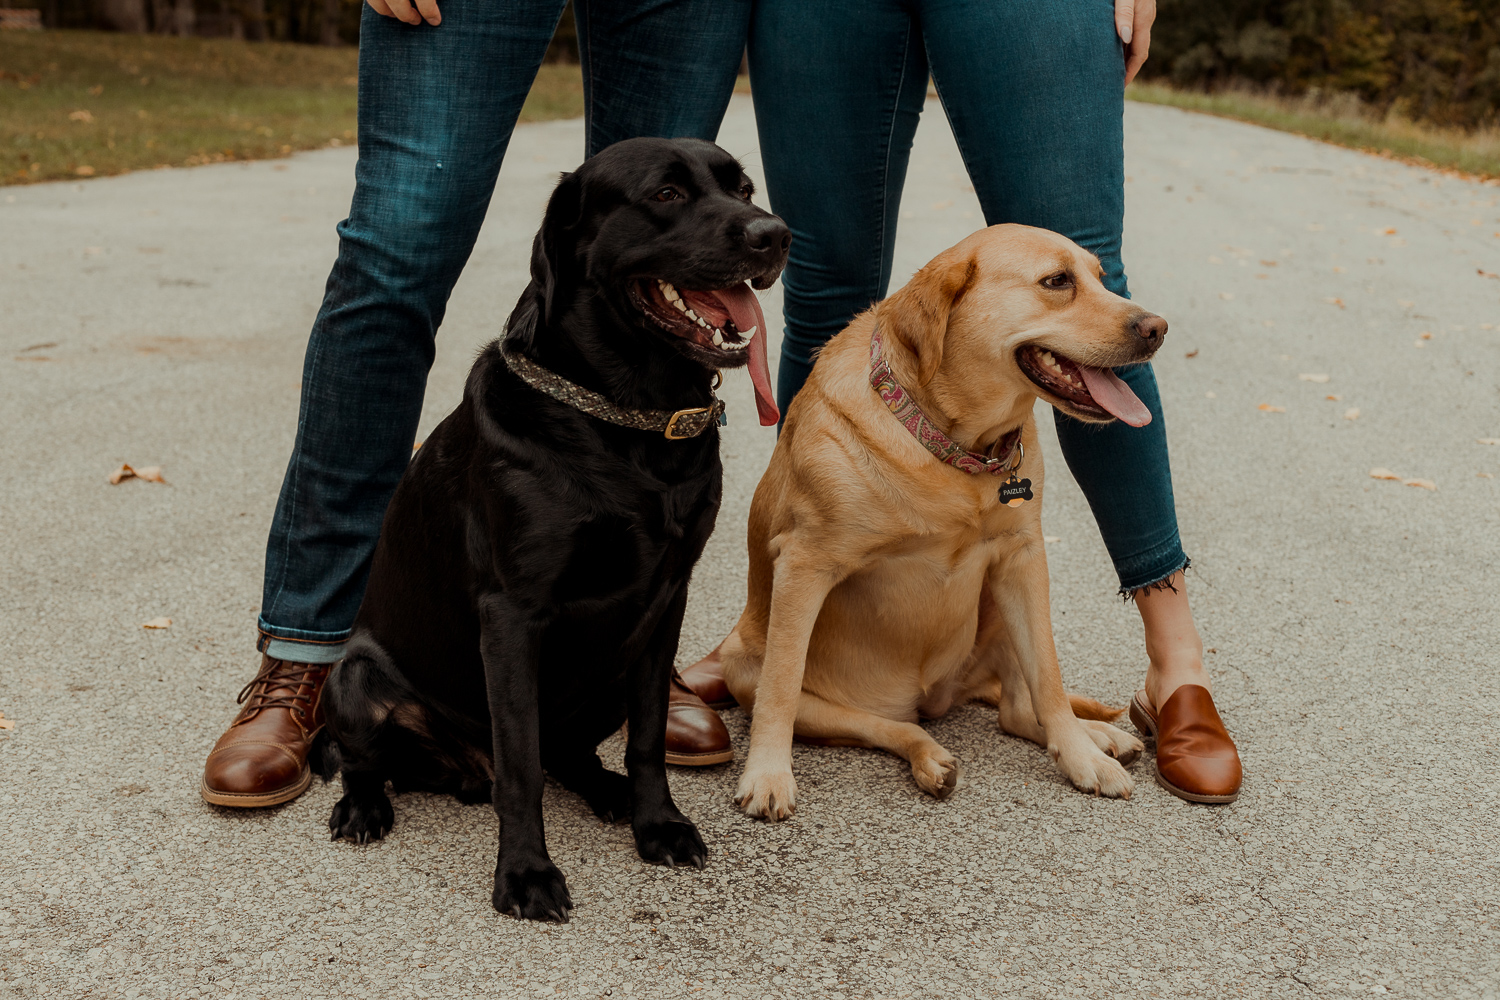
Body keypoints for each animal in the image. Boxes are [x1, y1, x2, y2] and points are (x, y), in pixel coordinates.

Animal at [313, 138, 786, 923]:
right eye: (665, 194)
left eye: (743, 188)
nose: (773, 234)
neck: (625, 423)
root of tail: (461, 768)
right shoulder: (512, 613)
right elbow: (521, 768)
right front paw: (526, 874)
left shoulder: (666, 604)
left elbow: (647, 739)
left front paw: (659, 825)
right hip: (352, 679)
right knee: (370, 763)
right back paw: (363, 809)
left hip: (609, 673)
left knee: (571, 754)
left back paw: (611, 795)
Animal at [720, 223, 1164, 815]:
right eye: (1056, 281)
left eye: (1100, 276)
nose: (1157, 328)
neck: (955, 450)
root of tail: (939, 695)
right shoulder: (803, 565)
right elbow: (782, 685)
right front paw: (768, 773)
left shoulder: (1023, 558)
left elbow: (1048, 678)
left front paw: (1081, 756)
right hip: (745, 666)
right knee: (893, 727)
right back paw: (931, 759)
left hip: (1002, 598)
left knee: (1017, 710)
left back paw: (1097, 738)